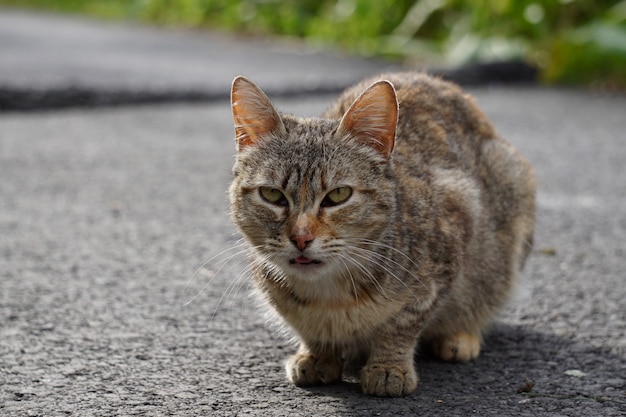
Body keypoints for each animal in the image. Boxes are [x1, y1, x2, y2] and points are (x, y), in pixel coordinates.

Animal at [227, 72, 532, 396]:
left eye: (338, 195)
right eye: (272, 195)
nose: (301, 237)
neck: (329, 295)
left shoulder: (449, 244)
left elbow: (400, 324)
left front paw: (388, 366)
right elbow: (309, 329)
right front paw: (318, 354)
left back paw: (461, 336)